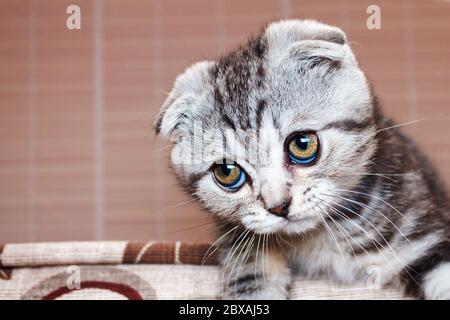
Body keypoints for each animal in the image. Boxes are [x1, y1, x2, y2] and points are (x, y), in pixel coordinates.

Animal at [153, 20, 448, 300]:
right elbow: (249, 272)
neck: (324, 238)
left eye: (302, 144)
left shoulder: (425, 235)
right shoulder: (238, 239)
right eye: (227, 172)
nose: (279, 206)